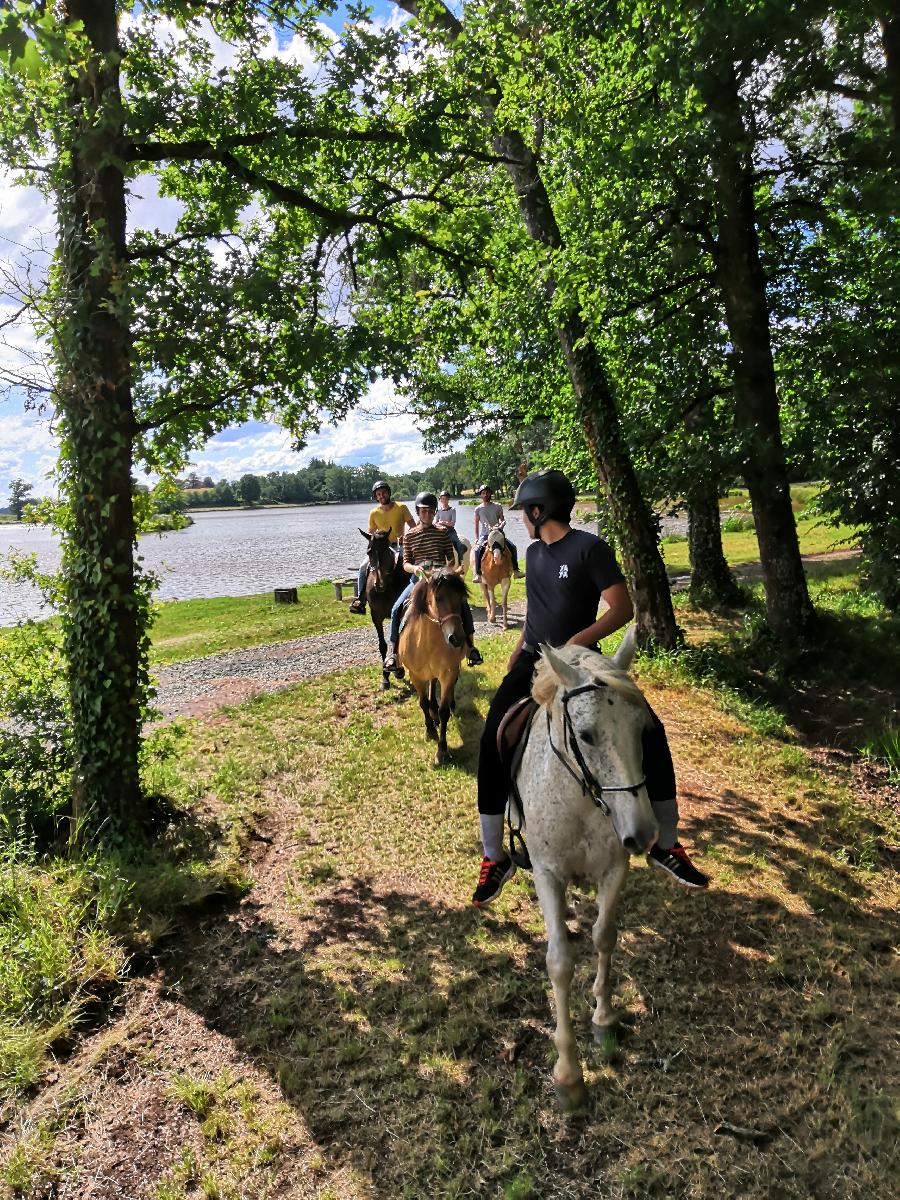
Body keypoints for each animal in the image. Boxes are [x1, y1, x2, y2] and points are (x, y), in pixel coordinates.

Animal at [362, 530, 408, 691]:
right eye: (369, 552)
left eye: (386, 552)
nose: (379, 584)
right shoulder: (376, 616)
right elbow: (383, 646)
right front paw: (385, 678)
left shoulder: (398, 613)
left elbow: (397, 641)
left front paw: (398, 670)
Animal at [400, 566, 472, 763]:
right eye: (438, 597)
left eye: (461, 597)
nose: (457, 638)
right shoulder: (415, 675)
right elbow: (423, 703)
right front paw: (430, 731)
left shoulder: (448, 673)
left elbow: (444, 710)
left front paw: (442, 750)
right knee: (431, 686)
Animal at [518, 633, 657, 1108]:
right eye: (585, 735)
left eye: (642, 730)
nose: (643, 833)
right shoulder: (546, 874)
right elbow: (560, 962)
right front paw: (568, 1073)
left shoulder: (616, 867)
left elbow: (604, 936)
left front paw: (603, 1017)